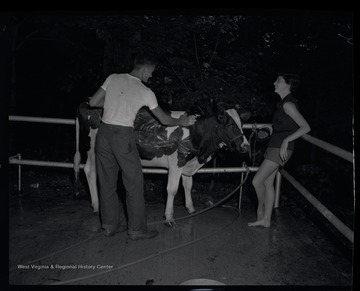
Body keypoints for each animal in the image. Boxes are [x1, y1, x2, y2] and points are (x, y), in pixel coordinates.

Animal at [74, 102, 250, 228]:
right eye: (231, 125)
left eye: (241, 125)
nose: (246, 146)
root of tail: (87, 102)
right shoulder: (176, 163)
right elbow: (172, 190)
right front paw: (169, 218)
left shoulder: (187, 163)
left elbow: (188, 185)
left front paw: (190, 209)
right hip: (93, 148)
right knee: (89, 170)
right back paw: (96, 206)